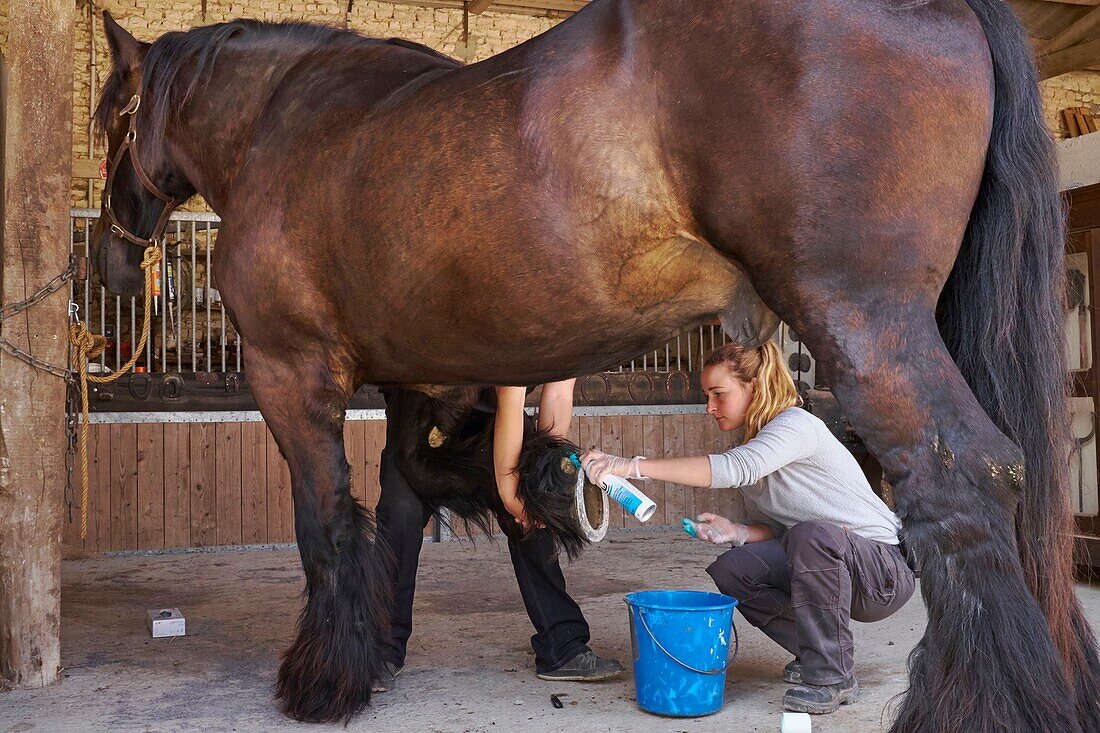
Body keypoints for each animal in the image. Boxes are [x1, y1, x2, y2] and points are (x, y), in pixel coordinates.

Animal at [92, 2, 1100, 726]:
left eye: (110, 118)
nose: (107, 264)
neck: (286, 124)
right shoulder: (418, 373)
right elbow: (410, 490)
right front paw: (533, 502)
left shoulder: (291, 373)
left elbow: (328, 522)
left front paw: (323, 679)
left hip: (864, 319)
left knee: (964, 478)